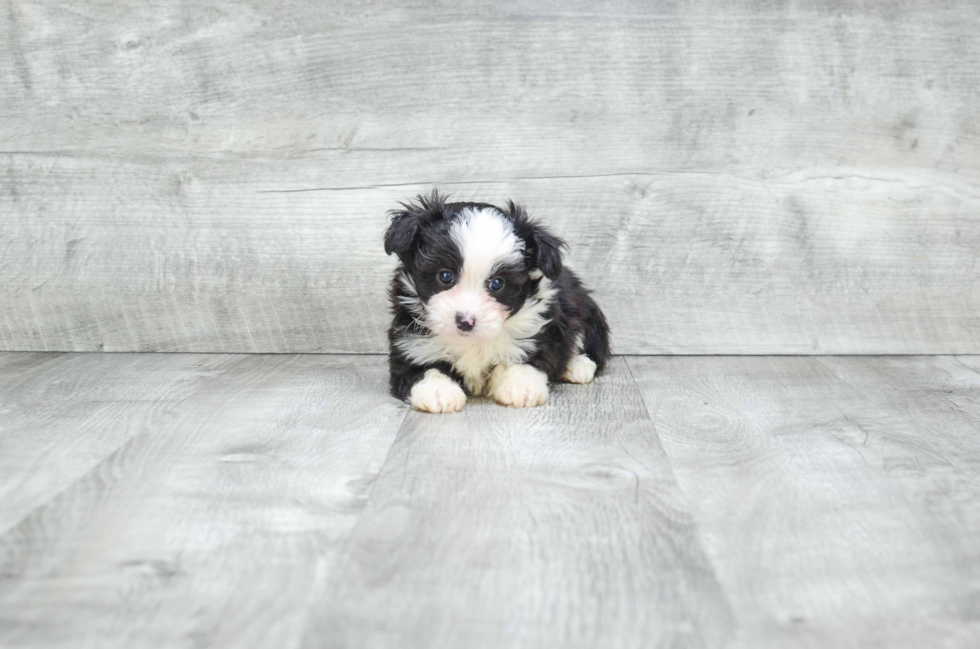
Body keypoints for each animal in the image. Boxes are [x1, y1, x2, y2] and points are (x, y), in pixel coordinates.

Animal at [384, 190, 608, 412]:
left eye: (497, 283)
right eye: (445, 276)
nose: (465, 322)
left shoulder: (537, 332)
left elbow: (526, 356)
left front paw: (521, 387)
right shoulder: (410, 342)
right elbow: (423, 367)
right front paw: (438, 391)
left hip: (581, 307)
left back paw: (577, 365)